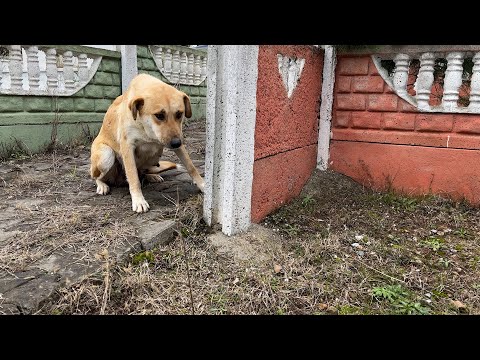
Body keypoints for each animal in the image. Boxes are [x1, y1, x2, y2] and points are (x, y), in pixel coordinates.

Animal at [90, 74, 204, 212]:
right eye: (159, 115)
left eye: (179, 114)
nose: (176, 143)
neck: (146, 128)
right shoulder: (127, 147)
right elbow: (133, 177)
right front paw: (138, 200)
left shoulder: (177, 141)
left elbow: (190, 166)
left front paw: (203, 185)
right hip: (106, 156)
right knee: (96, 176)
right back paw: (102, 185)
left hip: (154, 156)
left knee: (142, 172)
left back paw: (151, 176)